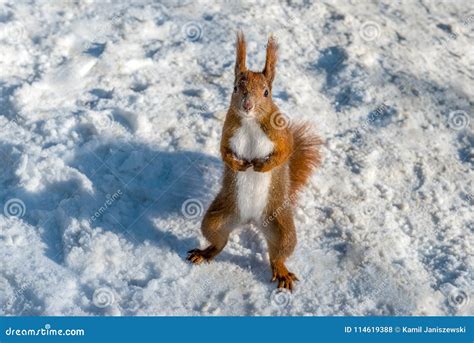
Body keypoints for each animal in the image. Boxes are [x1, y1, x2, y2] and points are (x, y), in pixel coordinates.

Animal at [187, 32, 320, 292]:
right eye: (235, 87)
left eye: (266, 92)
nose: (247, 105)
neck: (250, 122)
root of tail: (250, 220)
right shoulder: (227, 131)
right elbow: (224, 152)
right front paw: (239, 165)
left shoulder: (281, 134)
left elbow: (285, 152)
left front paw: (262, 166)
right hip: (218, 217)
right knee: (219, 241)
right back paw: (205, 253)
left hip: (281, 225)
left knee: (278, 253)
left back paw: (282, 271)